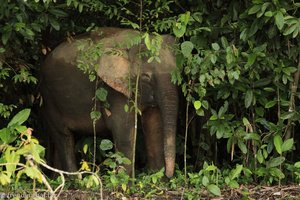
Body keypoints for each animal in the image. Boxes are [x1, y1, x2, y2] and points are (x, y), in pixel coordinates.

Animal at [39, 27, 178, 178]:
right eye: (146, 77)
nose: (169, 175)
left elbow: (154, 127)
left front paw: (157, 178)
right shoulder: (113, 89)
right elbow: (124, 130)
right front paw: (124, 181)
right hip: (50, 97)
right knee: (64, 137)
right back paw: (75, 180)